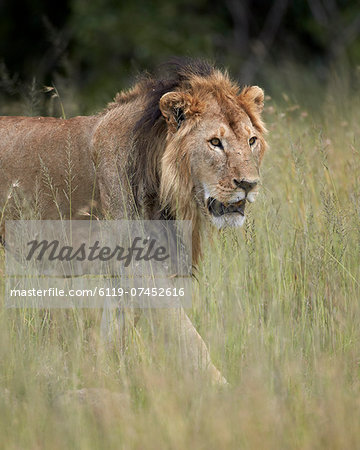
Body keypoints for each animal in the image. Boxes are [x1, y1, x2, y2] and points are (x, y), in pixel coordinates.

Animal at [0, 59, 264, 384]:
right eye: (215, 142)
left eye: (251, 140)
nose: (249, 184)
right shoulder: (138, 263)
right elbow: (186, 336)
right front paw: (223, 388)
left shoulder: (123, 269)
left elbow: (113, 333)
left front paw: (102, 376)